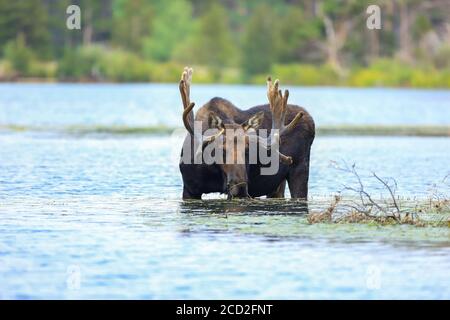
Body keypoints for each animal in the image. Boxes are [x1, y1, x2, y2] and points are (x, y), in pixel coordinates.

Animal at [178, 66, 314, 199]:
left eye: (248, 151)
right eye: (221, 150)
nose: (241, 187)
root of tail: (309, 118)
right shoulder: (190, 189)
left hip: (300, 169)